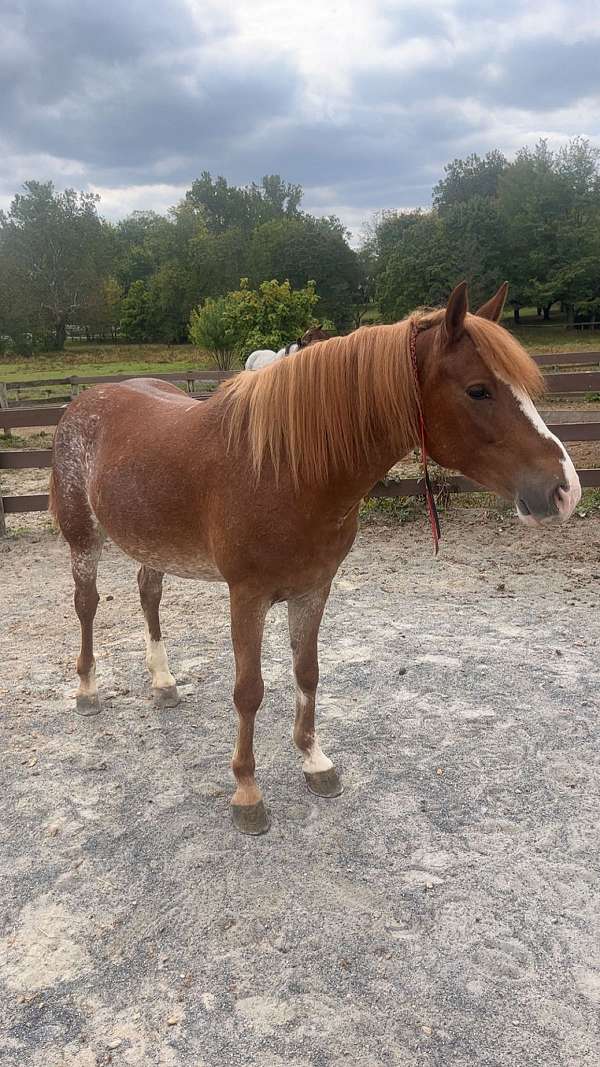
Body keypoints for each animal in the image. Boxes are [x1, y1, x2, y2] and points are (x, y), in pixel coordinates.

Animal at [49, 282, 581, 835]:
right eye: (478, 390)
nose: (565, 490)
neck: (284, 469)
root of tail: (84, 400)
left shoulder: (313, 588)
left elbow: (307, 672)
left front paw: (314, 761)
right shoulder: (247, 596)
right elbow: (249, 690)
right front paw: (247, 791)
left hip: (152, 542)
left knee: (148, 593)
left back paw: (163, 682)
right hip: (83, 539)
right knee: (86, 605)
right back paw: (87, 690)